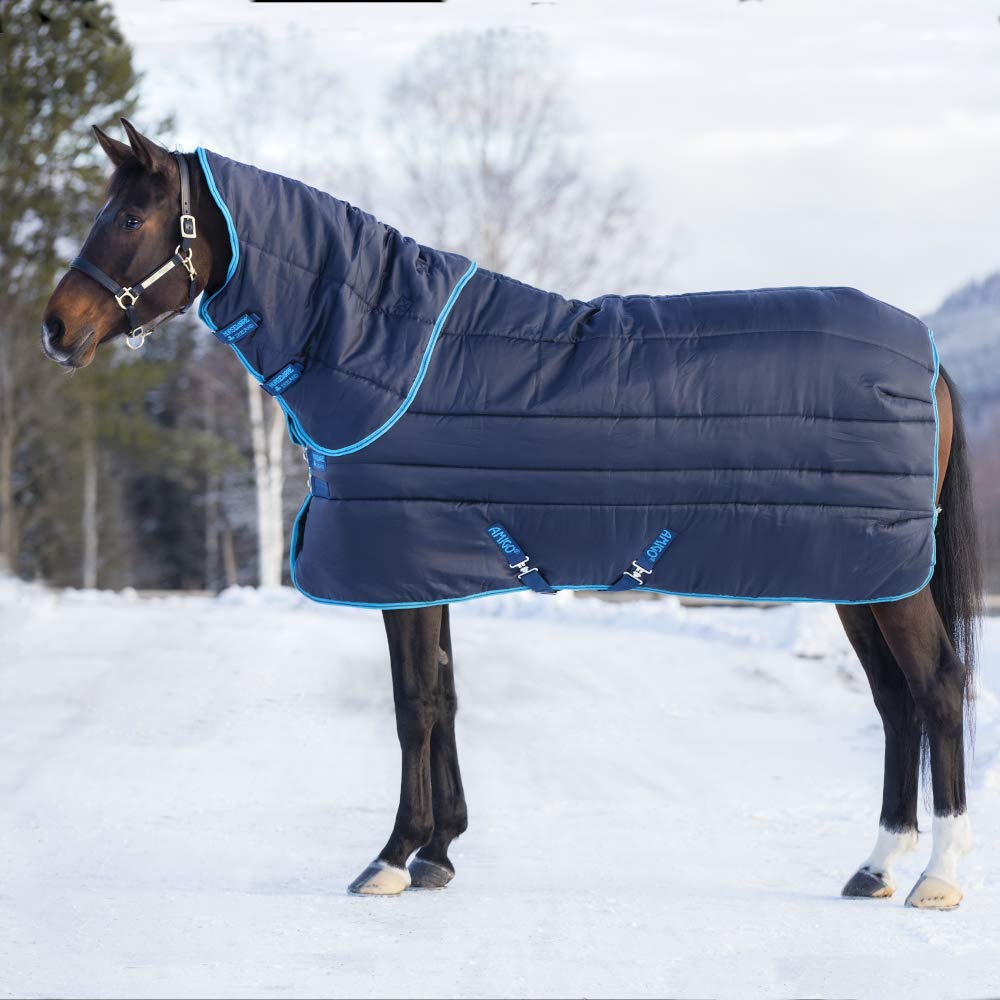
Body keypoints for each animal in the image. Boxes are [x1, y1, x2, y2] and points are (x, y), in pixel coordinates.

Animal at [41, 120, 982, 908]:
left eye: (130, 216)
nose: (55, 327)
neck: (384, 351)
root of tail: (930, 356)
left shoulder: (401, 561)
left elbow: (413, 704)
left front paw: (393, 856)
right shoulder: (430, 564)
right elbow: (447, 697)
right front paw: (440, 853)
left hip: (890, 581)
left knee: (936, 687)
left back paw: (937, 877)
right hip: (863, 575)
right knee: (895, 700)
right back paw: (876, 867)